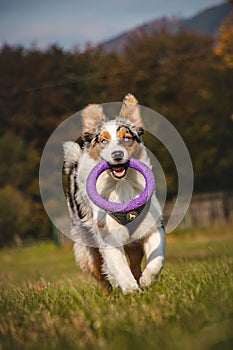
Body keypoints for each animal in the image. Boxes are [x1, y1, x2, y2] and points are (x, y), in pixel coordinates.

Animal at [63, 93, 166, 292]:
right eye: (103, 141)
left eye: (127, 138)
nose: (117, 155)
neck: (121, 186)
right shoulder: (107, 236)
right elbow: (119, 267)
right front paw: (131, 290)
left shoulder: (151, 227)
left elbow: (157, 260)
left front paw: (147, 280)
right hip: (88, 245)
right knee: (100, 276)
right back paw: (109, 294)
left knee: (135, 265)